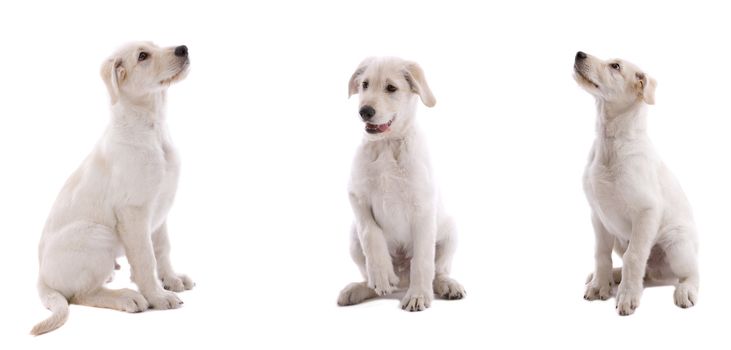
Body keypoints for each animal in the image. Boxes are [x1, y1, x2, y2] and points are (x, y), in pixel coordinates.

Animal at [31, 42, 194, 334]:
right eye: (143, 56)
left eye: (155, 46)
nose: (183, 48)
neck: (153, 129)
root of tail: (41, 280)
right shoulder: (134, 212)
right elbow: (145, 259)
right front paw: (158, 297)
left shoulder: (160, 211)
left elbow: (162, 249)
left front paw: (172, 279)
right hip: (98, 234)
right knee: (80, 295)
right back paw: (127, 297)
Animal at [336, 57, 464, 312]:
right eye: (364, 85)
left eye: (391, 88)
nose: (364, 111)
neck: (386, 145)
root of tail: (403, 278)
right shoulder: (356, 194)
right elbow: (371, 232)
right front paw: (382, 272)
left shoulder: (422, 208)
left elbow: (423, 260)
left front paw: (418, 295)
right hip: (353, 239)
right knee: (373, 278)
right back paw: (360, 288)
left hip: (451, 232)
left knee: (437, 271)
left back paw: (447, 285)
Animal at [576, 51, 700, 314]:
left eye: (615, 66)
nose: (579, 54)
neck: (611, 141)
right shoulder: (598, 216)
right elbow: (600, 253)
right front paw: (599, 285)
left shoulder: (646, 212)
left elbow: (634, 257)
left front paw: (627, 296)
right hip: (619, 239)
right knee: (645, 273)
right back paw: (611, 277)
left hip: (678, 245)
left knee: (691, 273)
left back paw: (684, 291)